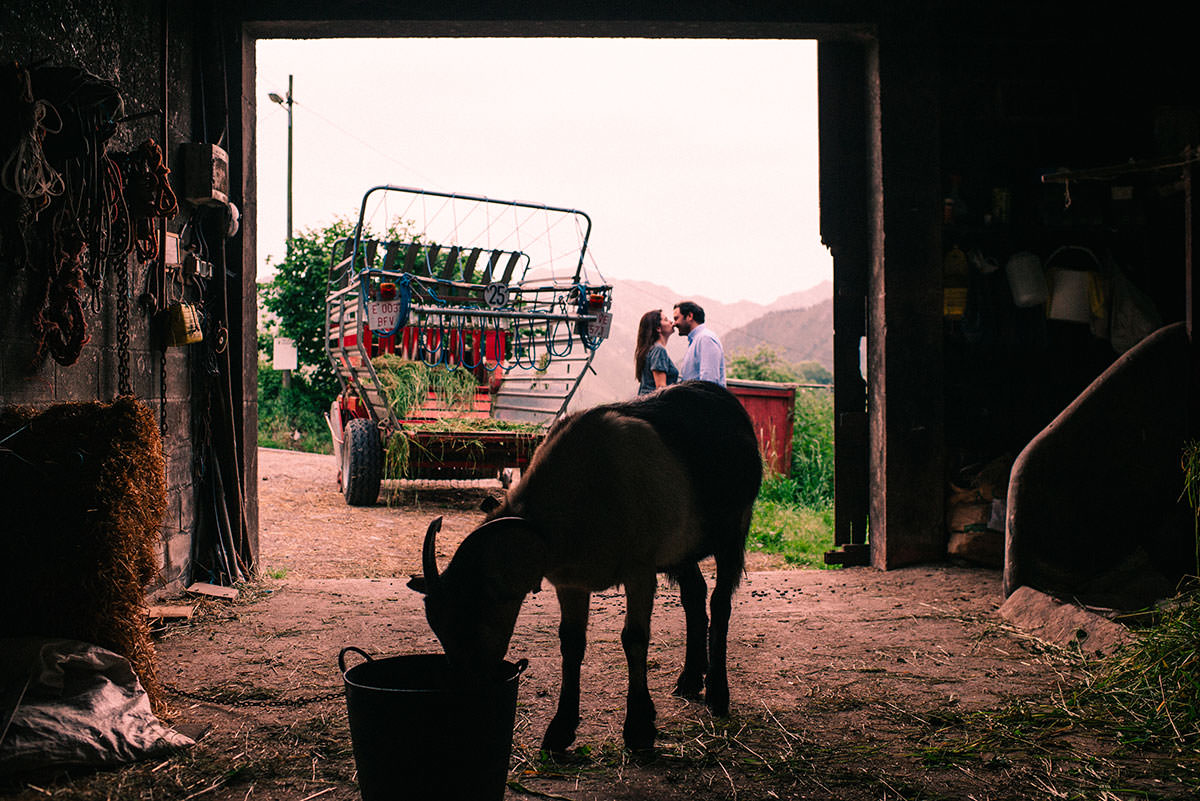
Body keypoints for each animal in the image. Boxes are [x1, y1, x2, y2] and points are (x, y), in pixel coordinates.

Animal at [405, 381, 758, 753]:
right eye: (439, 627)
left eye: (473, 618)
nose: (468, 687)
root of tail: (726, 400)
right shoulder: (570, 581)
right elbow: (571, 643)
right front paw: (561, 729)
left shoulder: (639, 570)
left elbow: (634, 638)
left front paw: (639, 727)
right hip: (681, 546)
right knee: (694, 596)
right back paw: (690, 679)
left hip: (734, 528)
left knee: (720, 603)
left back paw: (718, 692)